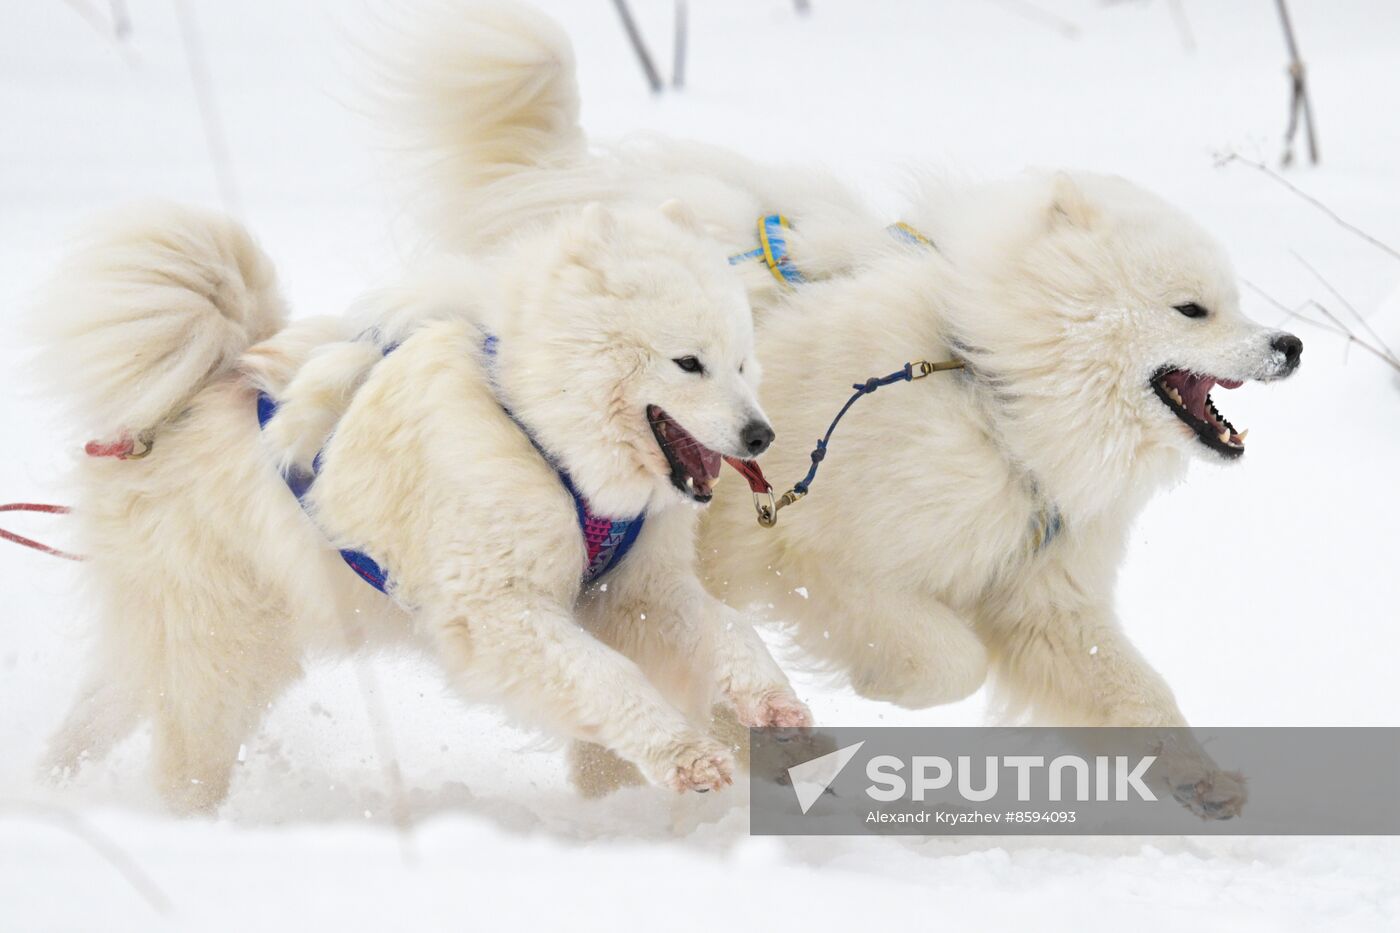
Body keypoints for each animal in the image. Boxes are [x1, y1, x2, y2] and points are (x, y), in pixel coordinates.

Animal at [38, 200, 812, 812]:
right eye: (689, 363)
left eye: (743, 362)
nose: (762, 435)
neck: (540, 434)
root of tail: (181, 401)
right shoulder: (499, 613)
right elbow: (609, 677)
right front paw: (688, 757)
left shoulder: (635, 589)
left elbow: (731, 628)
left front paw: (774, 703)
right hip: (221, 653)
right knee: (184, 759)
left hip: (189, 640)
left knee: (101, 710)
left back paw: (53, 787)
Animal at [375, 3, 1310, 812]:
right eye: (1192, 309)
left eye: (1238, 302)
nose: (1290, 344)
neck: (990, 390)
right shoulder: (826, 557)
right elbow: (953, 659)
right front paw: (880, 685)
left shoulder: (1044, 591)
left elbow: (1136, 689)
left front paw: (1206, 781)